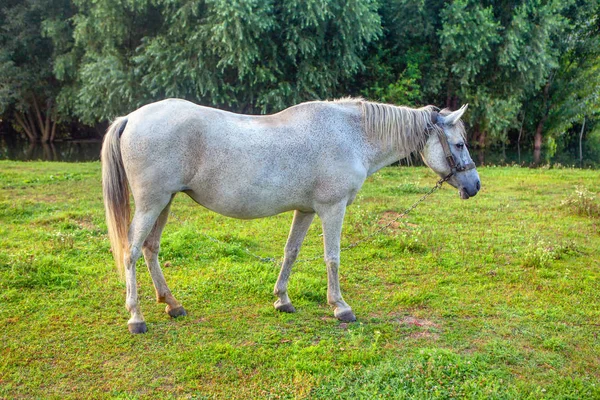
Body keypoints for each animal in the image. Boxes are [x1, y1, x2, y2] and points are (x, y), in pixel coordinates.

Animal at [101, 98, 480, 332]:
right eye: (459, 144)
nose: (474, 186)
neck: (351, 135)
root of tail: (131, 118)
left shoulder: (306, 210)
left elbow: (291, 252)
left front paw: (282, 299)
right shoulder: (332, 208)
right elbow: (332, 257)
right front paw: (340, 307)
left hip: (164, 203)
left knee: (150, 249)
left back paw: (172, 304)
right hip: (152, 203)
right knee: (131, 253)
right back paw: (136, 317)